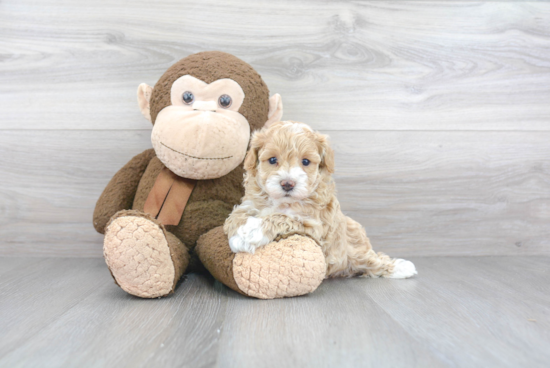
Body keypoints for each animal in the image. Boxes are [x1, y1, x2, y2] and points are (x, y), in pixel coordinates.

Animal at [224, 121, 418, 278]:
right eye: (272, 160)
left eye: (305, 162)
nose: (287, 184)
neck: (282, 201)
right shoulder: (250, 203)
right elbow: (235, 216)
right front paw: (239, 234)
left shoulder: (314, 224)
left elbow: (283, 217)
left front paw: (251, 233)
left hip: (356, 251)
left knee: (374, 261)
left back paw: (402, 267)